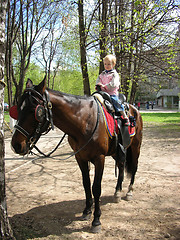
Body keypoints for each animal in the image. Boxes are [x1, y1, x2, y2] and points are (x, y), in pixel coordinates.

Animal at [11, 78, 143, 232]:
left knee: (134, 167)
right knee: (121, 166)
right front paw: (87, 211)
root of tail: (134, 110)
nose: (15, 145)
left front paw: (96, 220)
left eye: (34, 110)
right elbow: (86, 184)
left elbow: (96, 188)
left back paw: (129, 192)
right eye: (18, 109)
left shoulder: (99, 158)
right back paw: (117, 192)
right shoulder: (80, 157)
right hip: (117, 151)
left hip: (135, 147)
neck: (84, 121)